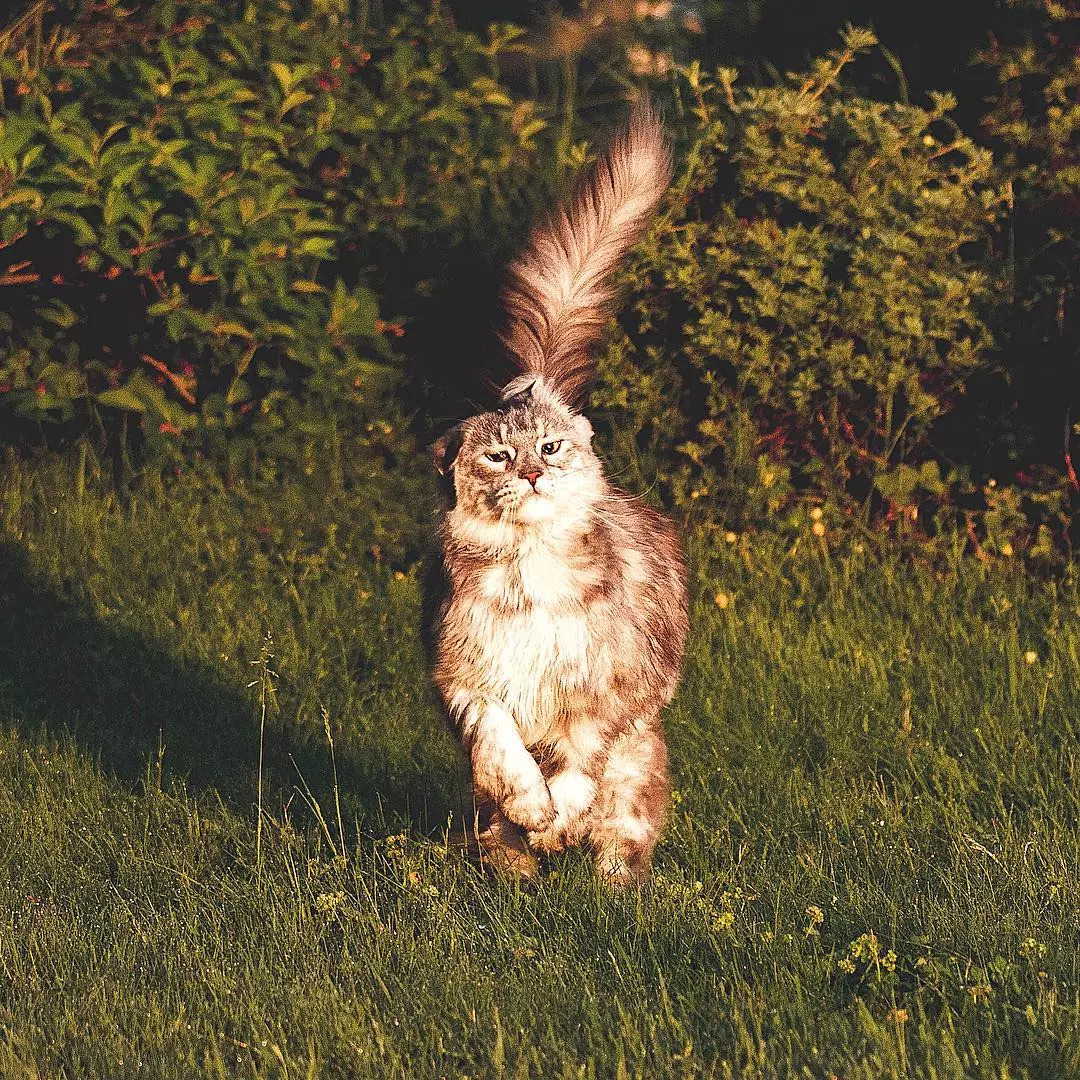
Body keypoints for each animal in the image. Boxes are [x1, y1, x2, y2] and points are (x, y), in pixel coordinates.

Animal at [427, 105, 686, 885]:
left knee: (625, 827)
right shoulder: (467, 680)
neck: (531, 572)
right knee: (493, 824)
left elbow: (576, 773)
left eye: (548, 448)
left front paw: (558, 824)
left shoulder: (606, 699)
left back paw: (610, 880)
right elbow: (504, 755)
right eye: (498, 455)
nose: (532, 475)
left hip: (641, 757)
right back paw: (514, 867)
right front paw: (532, 817)